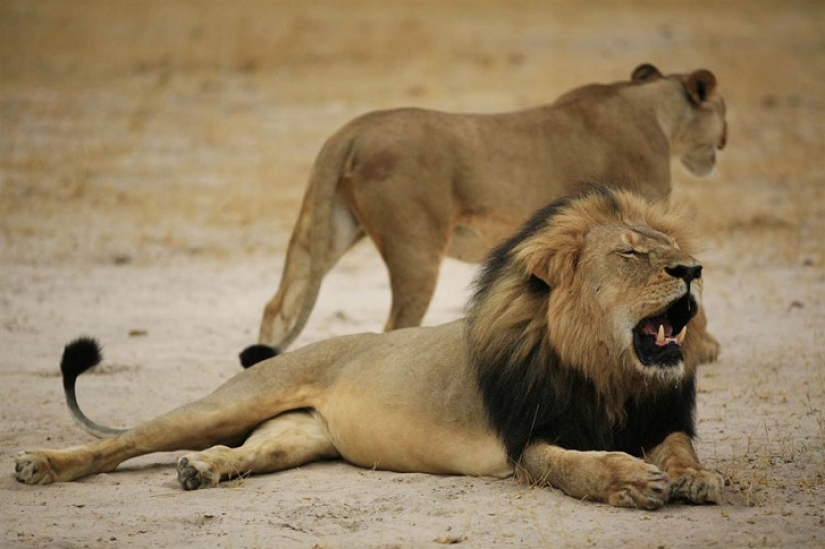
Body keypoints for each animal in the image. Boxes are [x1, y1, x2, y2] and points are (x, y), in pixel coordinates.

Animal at [14, 189, 720, 510]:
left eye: (669, 249)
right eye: (632, 254)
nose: (693, 269)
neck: (608, 373)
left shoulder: (658, 417)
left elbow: (679, 448)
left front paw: (695, 477)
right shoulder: (527, 441)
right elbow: (579, 466)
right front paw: (631, 480)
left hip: (296, 436)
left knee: (244, 451)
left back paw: (202, 470)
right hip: (230, 402)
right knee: (125, 441)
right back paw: (41, 465)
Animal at [254, 63, 724, 356]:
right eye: (722, 111)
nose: (724, 140)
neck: (655, 110)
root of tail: (349, 131)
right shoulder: (640, 217)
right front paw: (702, 347)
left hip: (327, 228)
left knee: (278, 305)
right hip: (415, 247)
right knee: (395, 324)